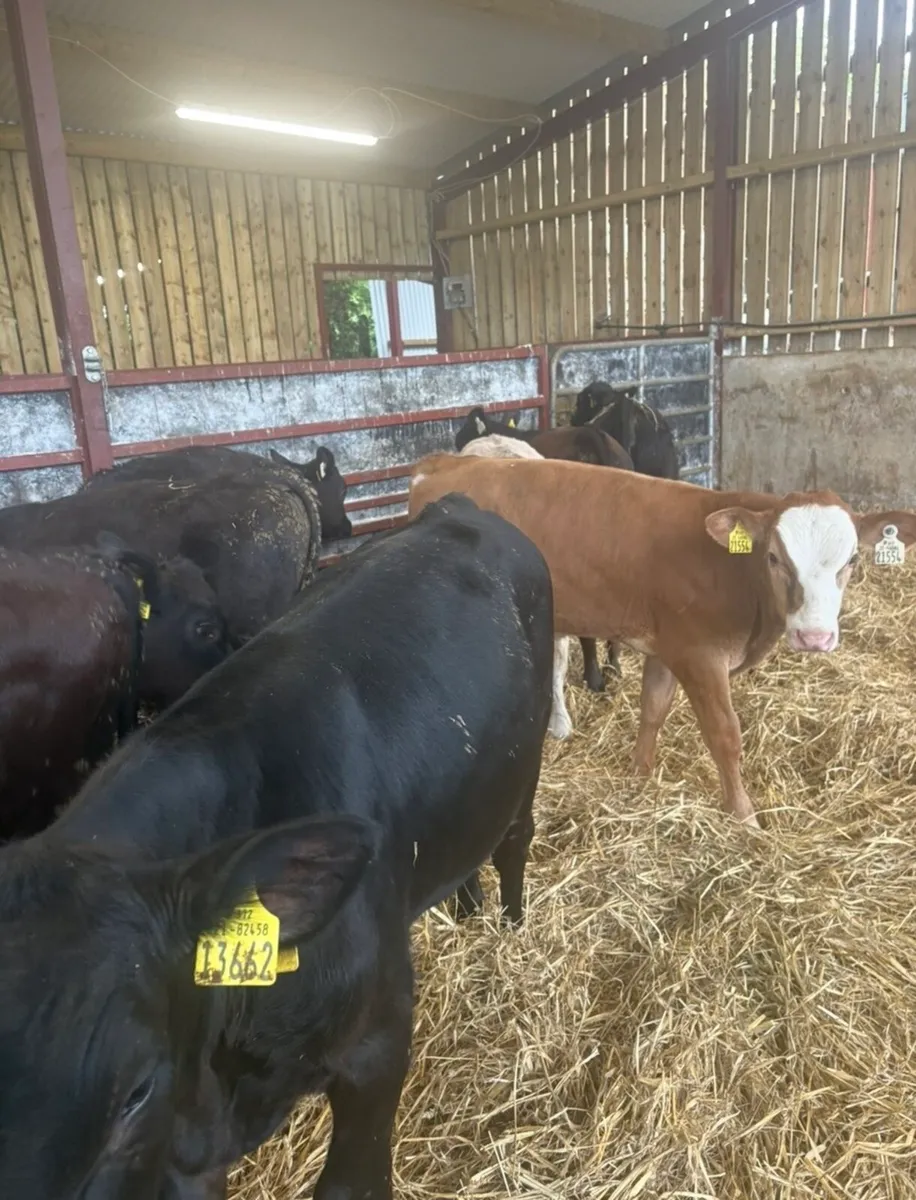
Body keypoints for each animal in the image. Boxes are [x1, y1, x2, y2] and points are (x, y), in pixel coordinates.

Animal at [409, 454, 916, 827]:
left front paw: (639, 778)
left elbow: (652, 710)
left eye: (852, 560)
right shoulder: (700, 656)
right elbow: (725, 735)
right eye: (774, 557)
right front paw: (744, 818)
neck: (732, 569)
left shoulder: (667, 649)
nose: (814, 635)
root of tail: (445, 462)